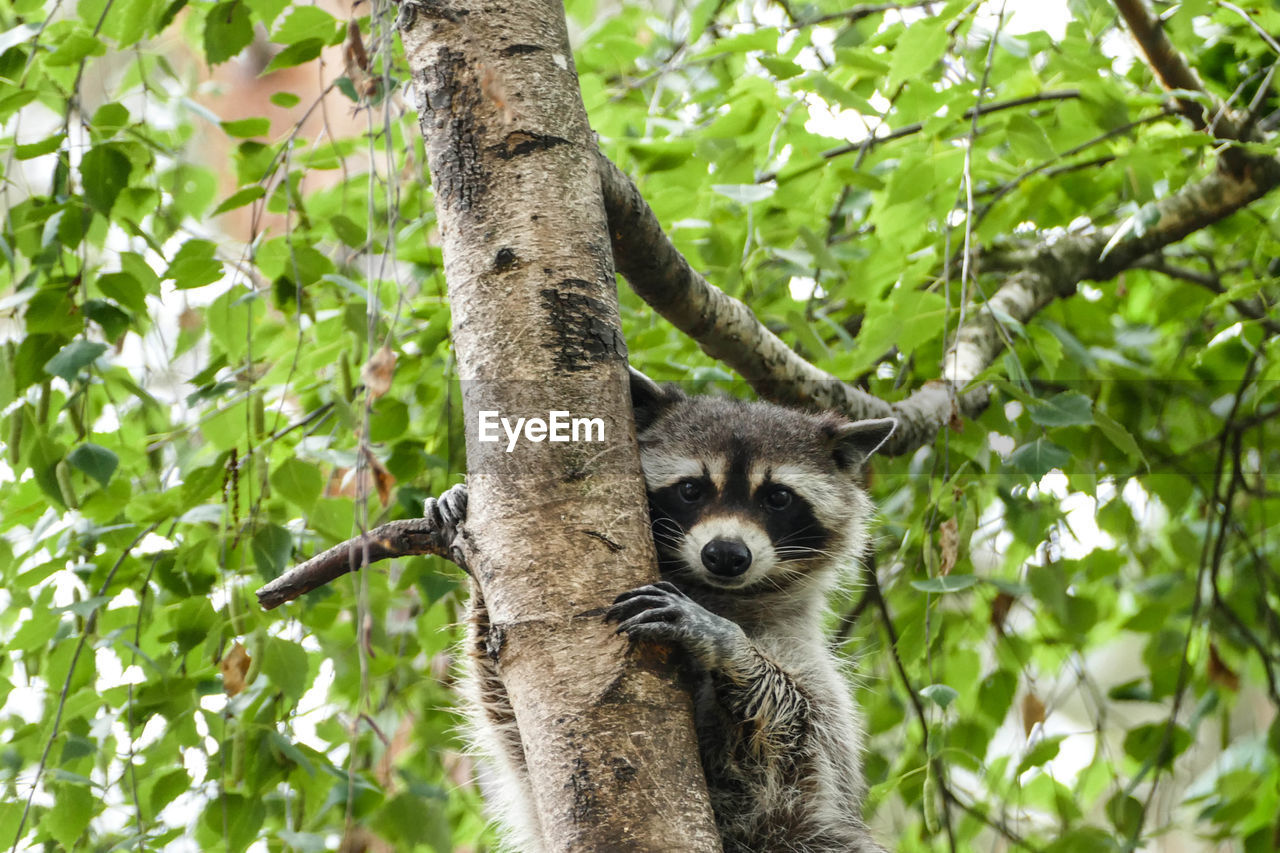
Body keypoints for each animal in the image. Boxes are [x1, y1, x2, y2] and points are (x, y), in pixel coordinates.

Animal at [430, 371, 890, 850]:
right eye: (691, 489)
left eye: (778, 498)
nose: (726, 555)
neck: (712, 591)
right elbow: (506, 709)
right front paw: (466, 531)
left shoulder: (813, 696)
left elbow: (794, 736)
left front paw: (726, 643)